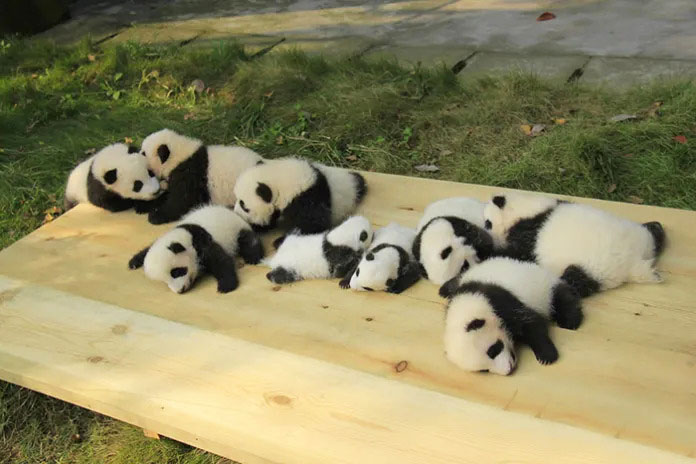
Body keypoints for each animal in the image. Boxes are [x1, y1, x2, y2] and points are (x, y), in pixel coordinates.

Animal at [128, 206, 264, 294]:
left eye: (177, 272)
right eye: (164, 282)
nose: (180, 290)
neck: (185, 235)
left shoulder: (202, 242)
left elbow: (221, 261)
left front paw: (226, 285)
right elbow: (149, 247)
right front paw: (134, 262)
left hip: (235, 229)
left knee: (248, 240)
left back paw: (253, 257)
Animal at [440, 256, 580, 376]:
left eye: (493, 350)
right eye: (484, 370)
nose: (509, 369)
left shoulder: (500, 301)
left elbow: (531, 324)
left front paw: (547, 356)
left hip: (545, 287)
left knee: (561, 297)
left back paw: (570, 321)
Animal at [482, 191, 668, 298]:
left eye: (488, 223)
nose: (486, 229)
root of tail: (633, 263)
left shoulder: (525, 237)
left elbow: (515, 252)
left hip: (594, 269)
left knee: (575, 280)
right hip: (637, 234)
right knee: (654, 233)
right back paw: (656, 229)